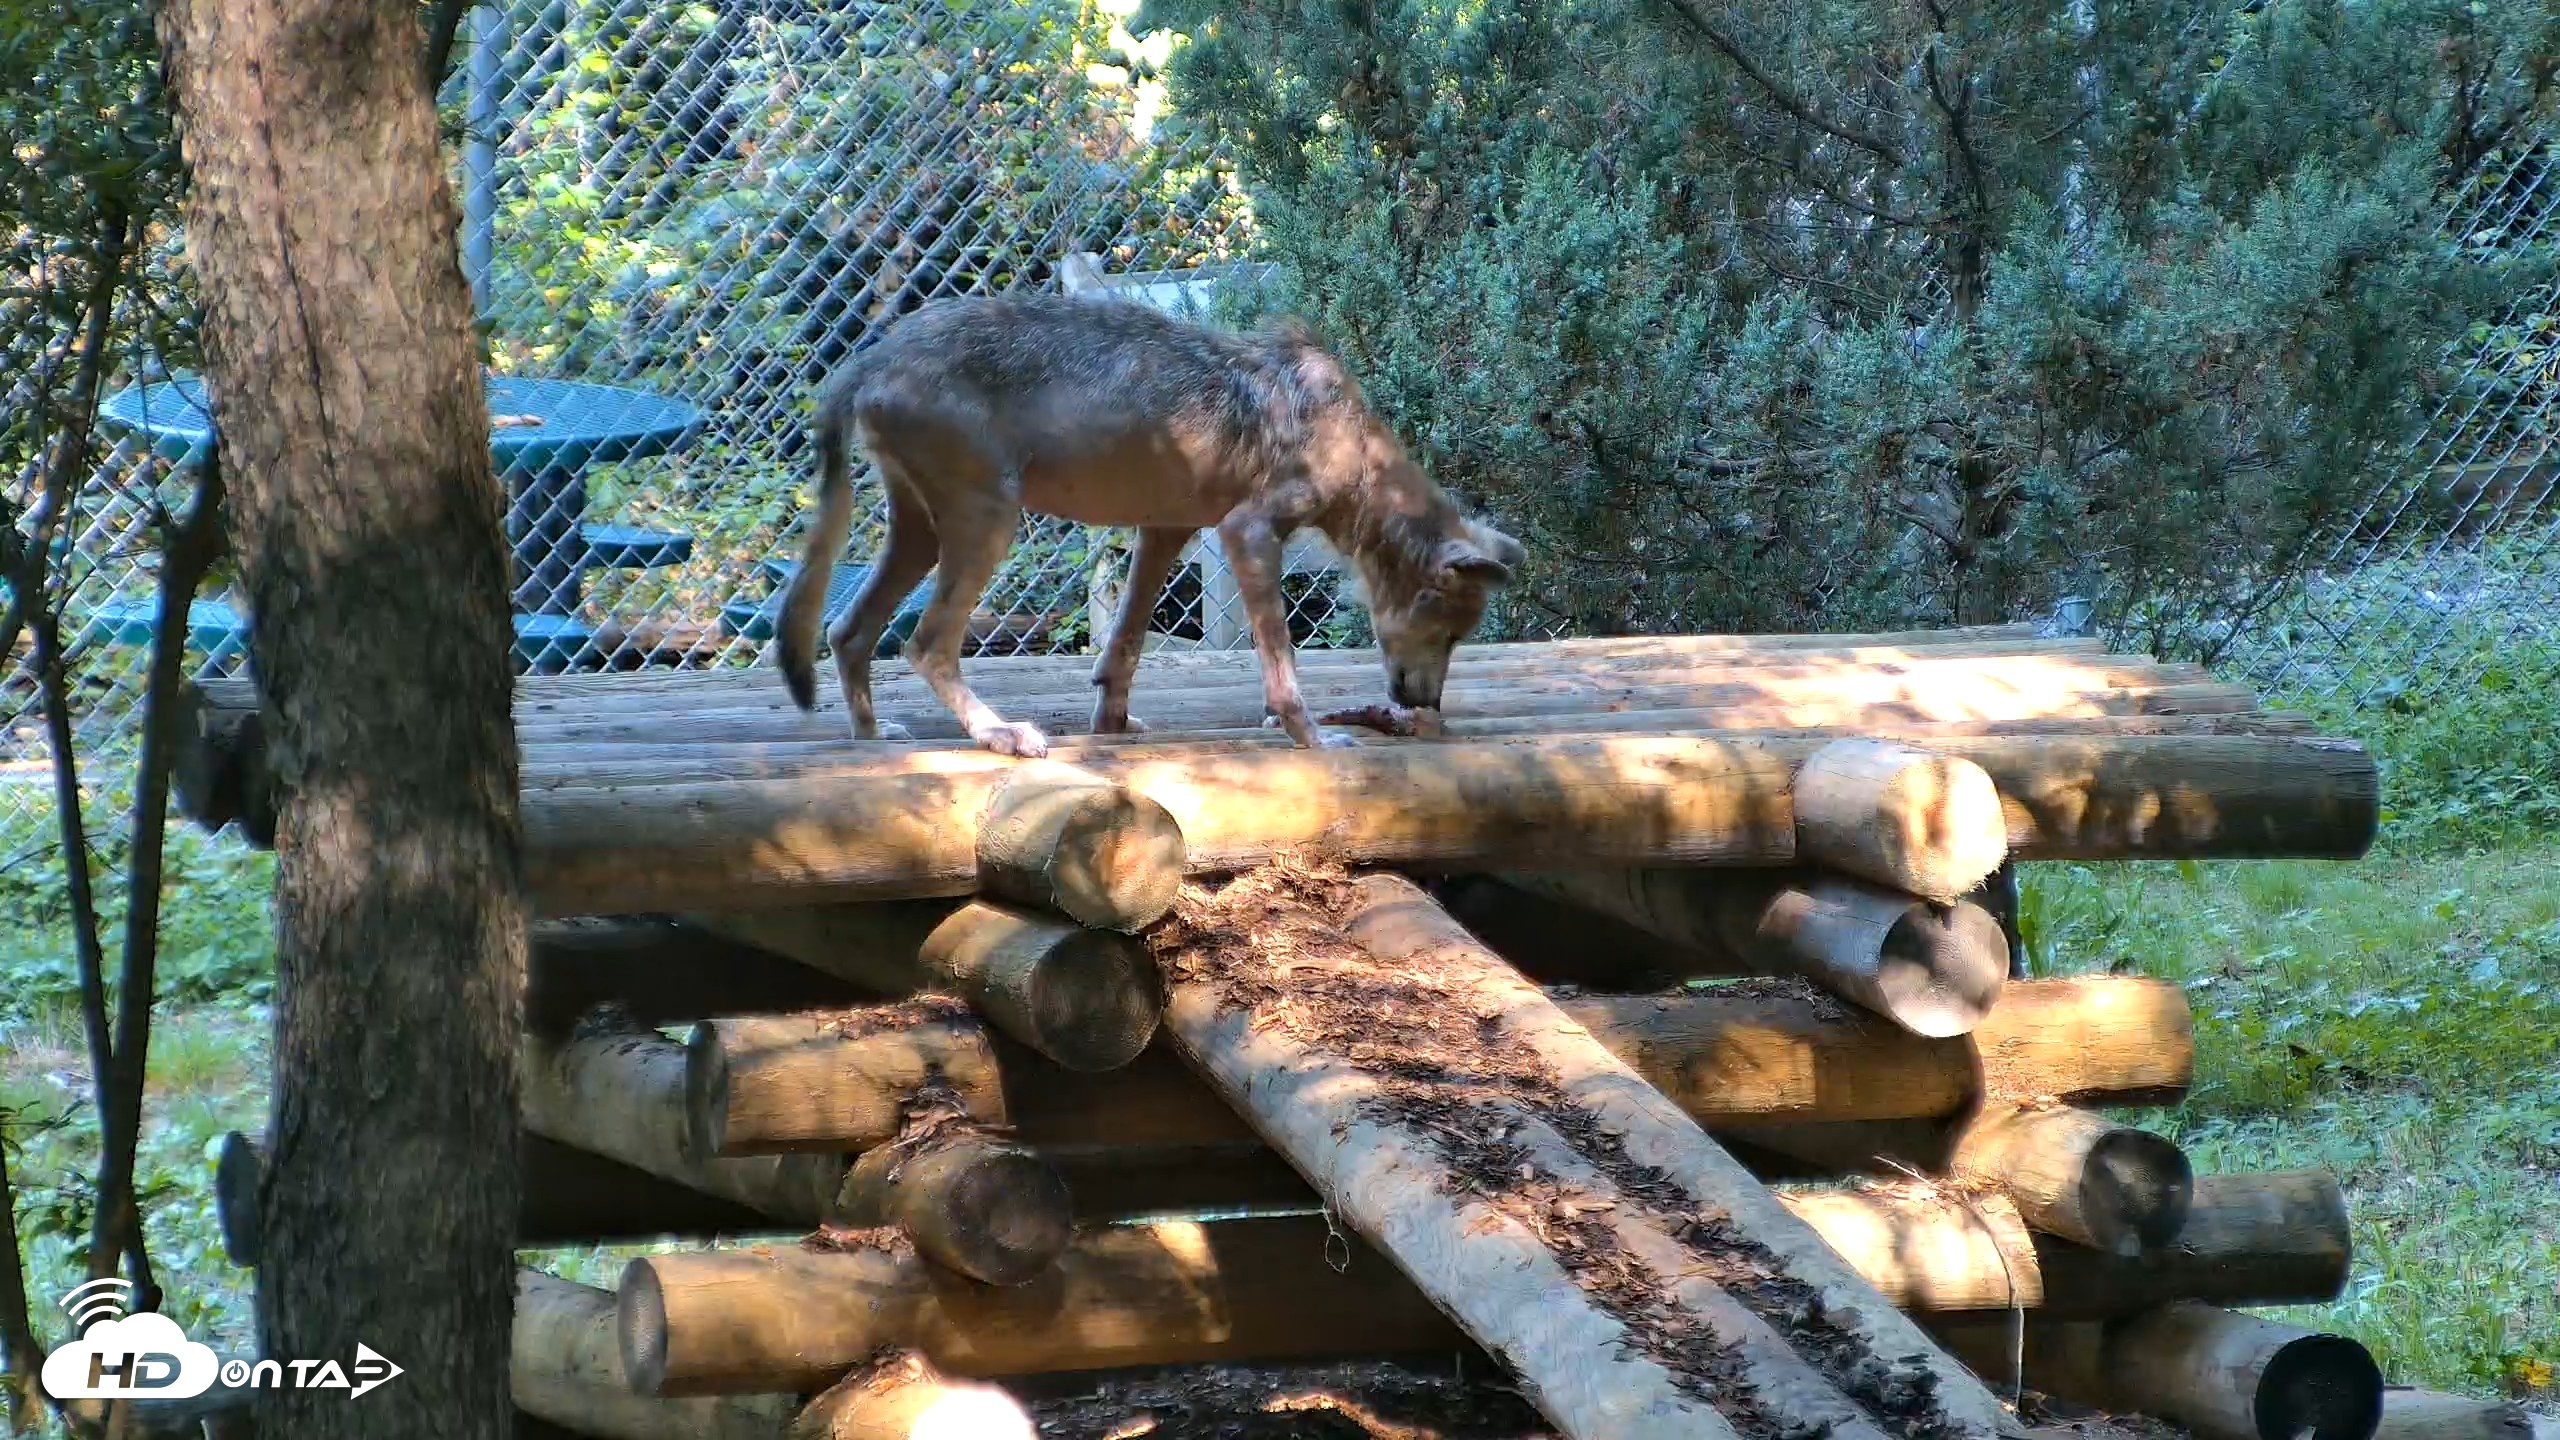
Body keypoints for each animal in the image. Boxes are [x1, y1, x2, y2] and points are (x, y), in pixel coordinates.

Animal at [775, 291, 1525, 757]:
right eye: (1449, 633)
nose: (1426, 706)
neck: (1355, 447)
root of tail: (871, 355)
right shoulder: (1248, 533)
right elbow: (1282, 668)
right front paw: (1311, 738)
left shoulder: (1165, 531)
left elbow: (1124, 650)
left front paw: (1111, 727)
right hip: (990, 523)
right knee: (925, 645)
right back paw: (1000, 735)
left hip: (924, 535)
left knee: (847, 633)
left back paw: (874, 737)